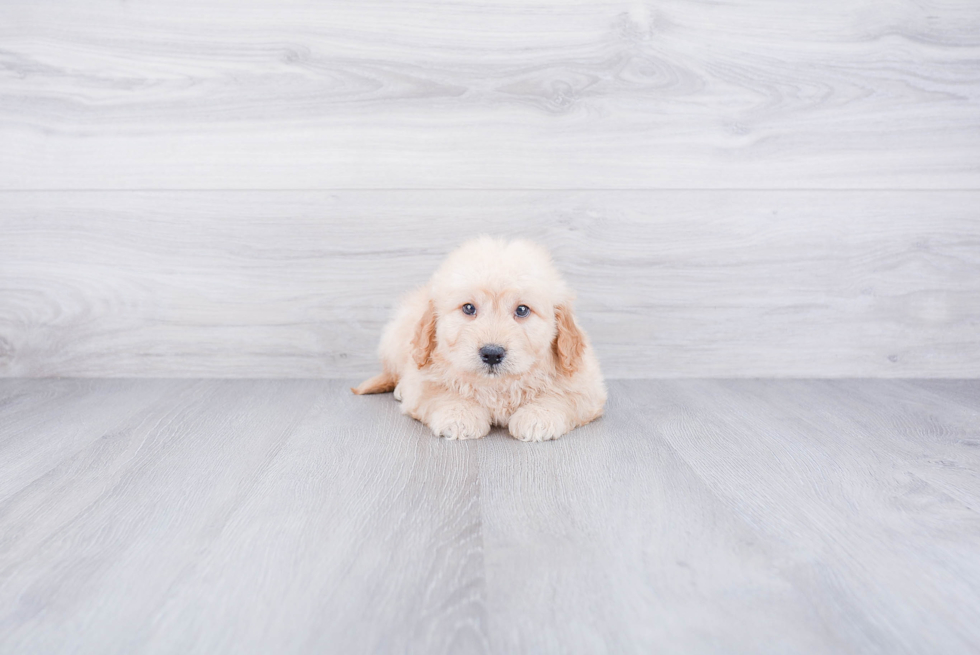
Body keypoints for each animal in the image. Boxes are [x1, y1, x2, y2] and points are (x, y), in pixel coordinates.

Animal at [352, 238, 604, 444]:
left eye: (522, 310)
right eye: (468, 308)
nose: (492, 353)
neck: (497, 386)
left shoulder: (587, 386)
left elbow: (562, 396)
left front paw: (537, 417)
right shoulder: (423, 378)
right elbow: (439, 392)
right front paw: (459, 416)